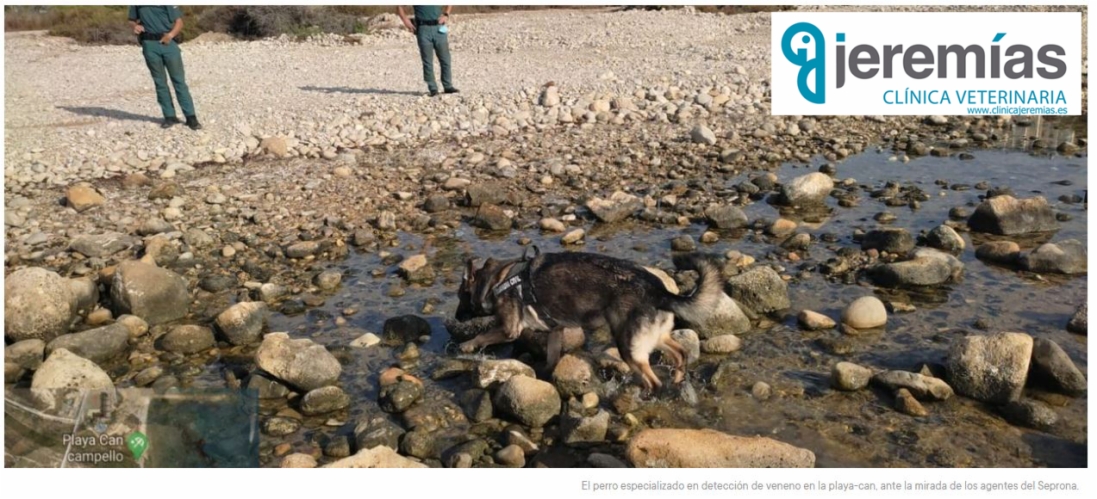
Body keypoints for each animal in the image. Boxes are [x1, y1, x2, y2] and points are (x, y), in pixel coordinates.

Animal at [456, 250, 728, 390]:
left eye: (461, 296)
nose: (457, 317)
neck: (498, 279)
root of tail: (659, 291)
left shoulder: (508, 329)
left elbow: (483, 335)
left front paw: (466, 345)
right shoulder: (555, 332)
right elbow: (552, 357)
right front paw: (547, 373)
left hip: (629, 347)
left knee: (654, 381)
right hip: (654, 337)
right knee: (680, 353)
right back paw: (679, 382)